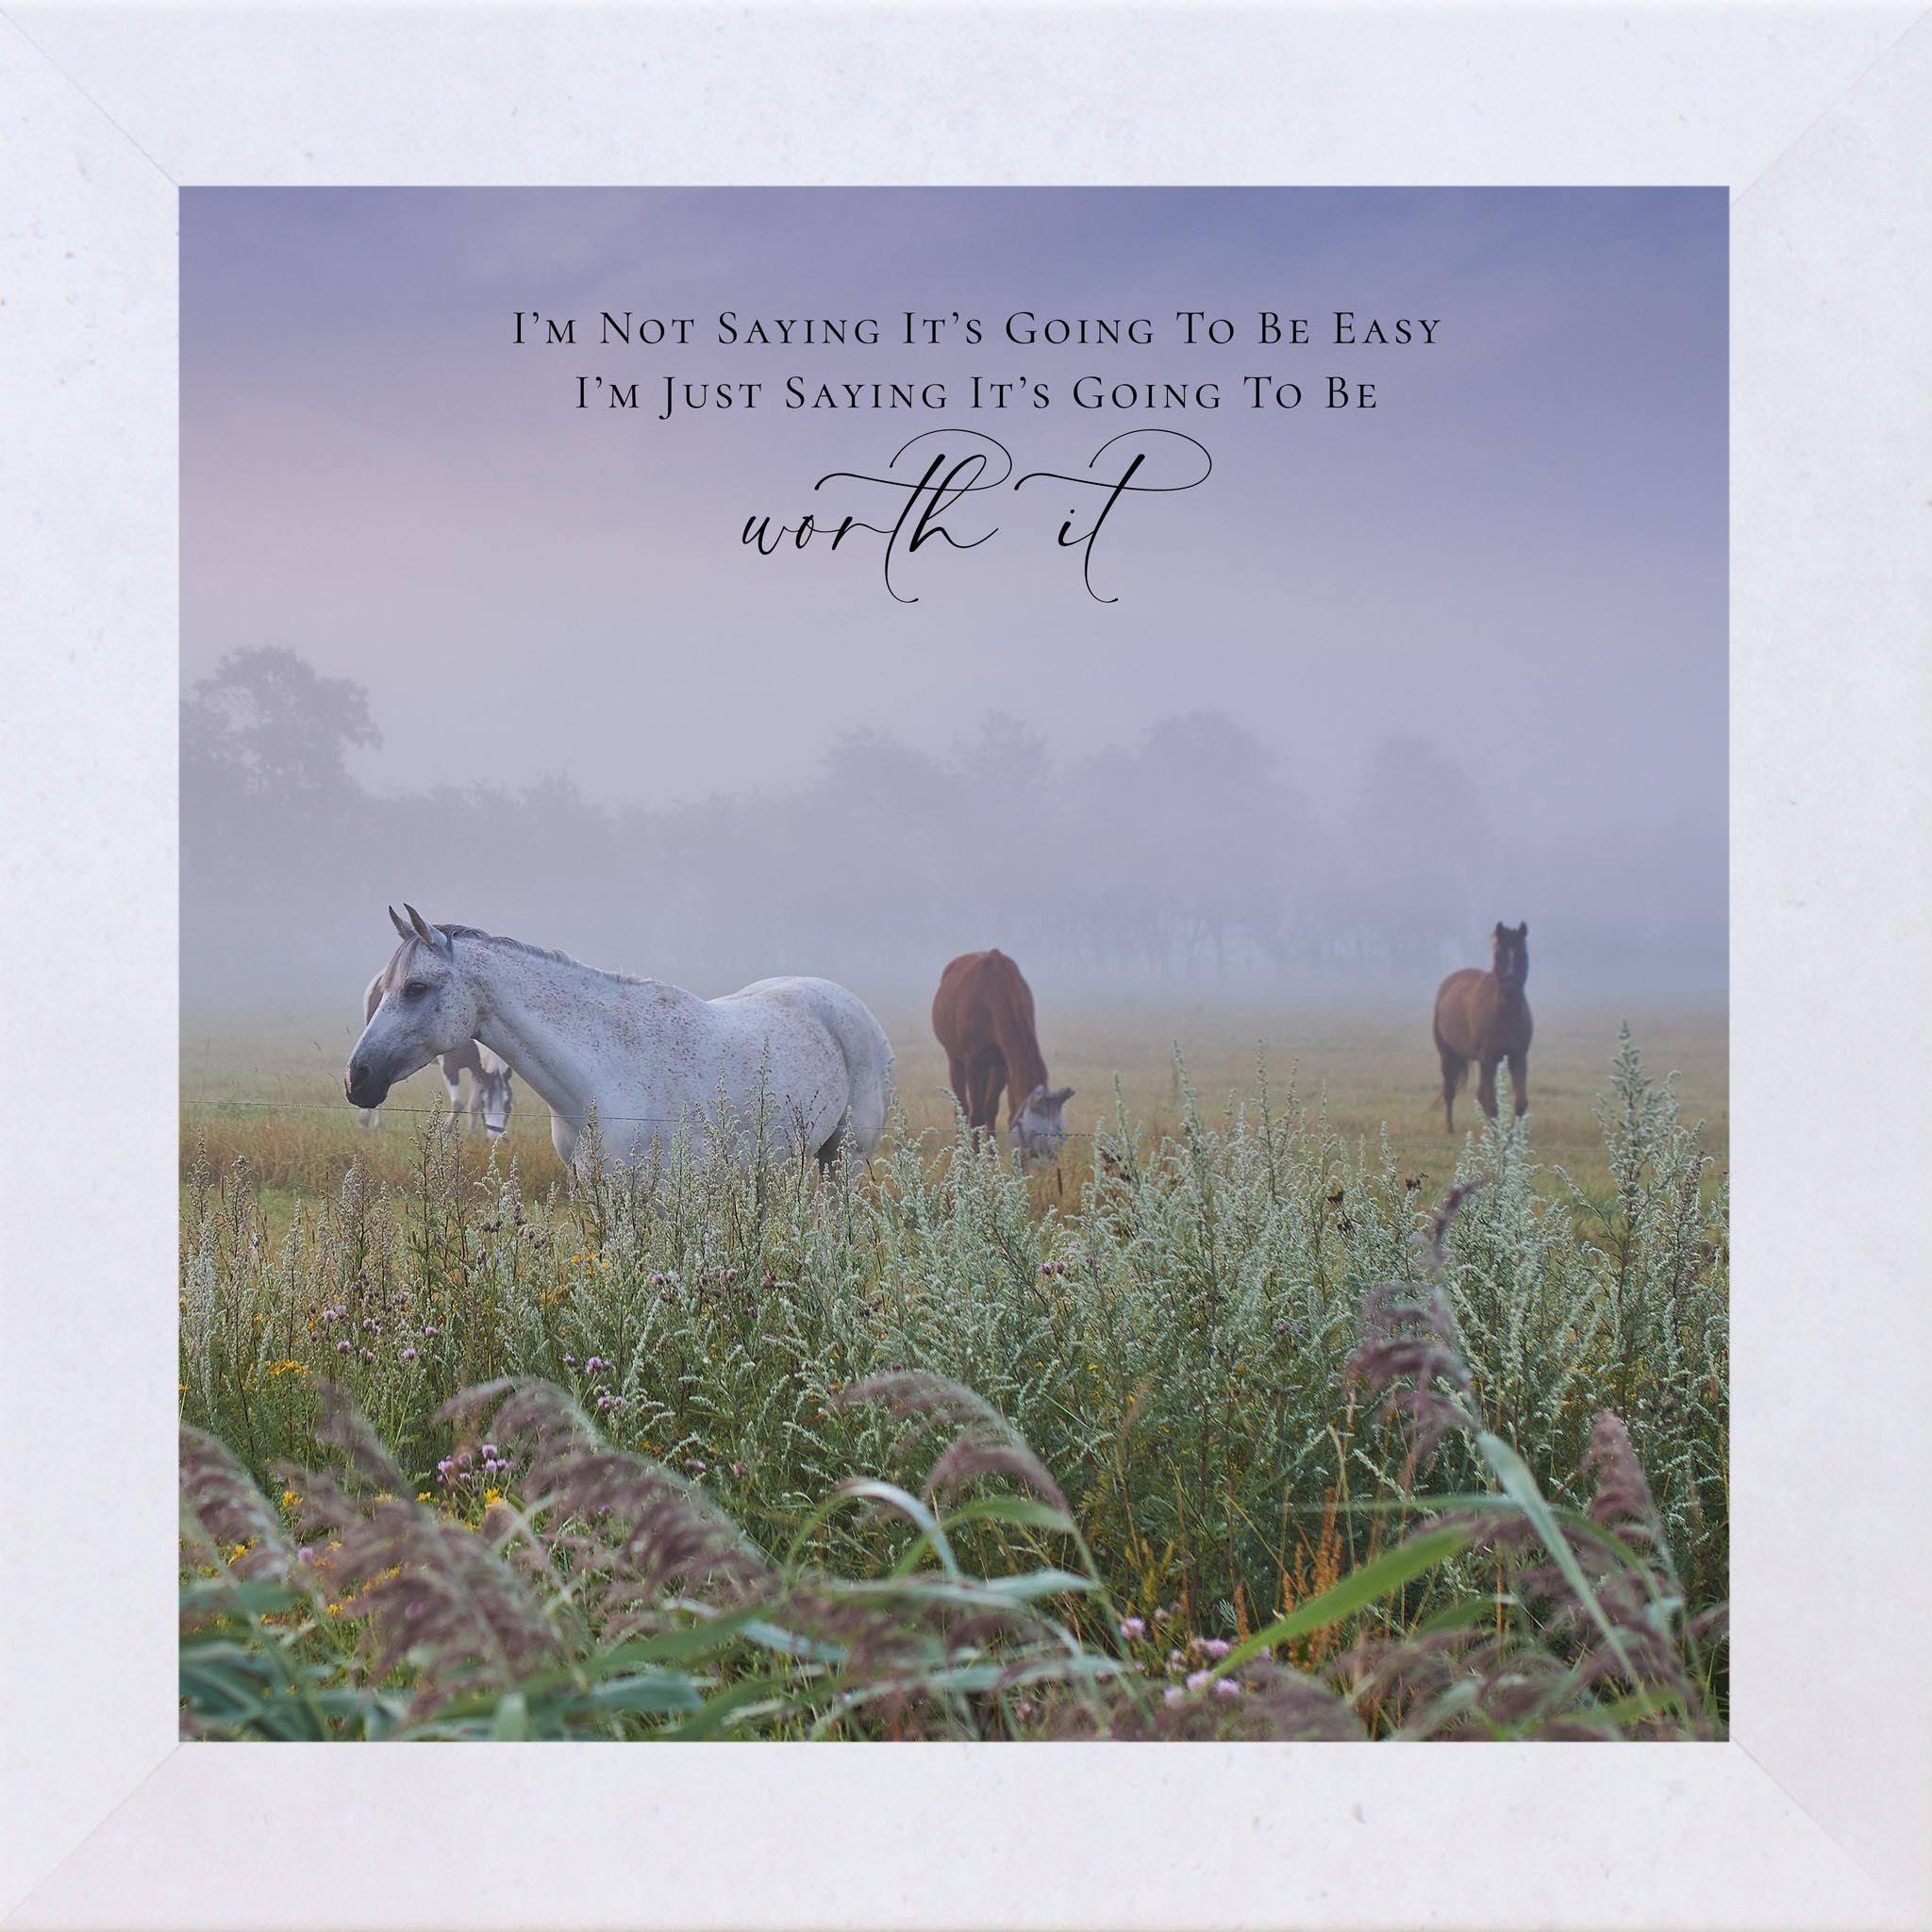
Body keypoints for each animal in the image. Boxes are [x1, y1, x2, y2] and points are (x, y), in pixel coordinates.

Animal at [357, 974, 514, 1140]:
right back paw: (374, 1124)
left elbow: (473, 1105)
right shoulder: (449, 1066)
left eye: (508, 1105)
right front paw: (445, 1132)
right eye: (486, 1103)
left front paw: (471, 1135)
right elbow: (458, 1102)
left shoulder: (478, 1070)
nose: (494, 1138)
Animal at [931, 949, 1074, 1161]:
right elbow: (976, 1113)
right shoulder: (973, 1061)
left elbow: (996, 1108)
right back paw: (961, 1152)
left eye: (1055, 1128)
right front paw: (975, 1157)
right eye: (1031, 1129)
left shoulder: (1004, 1062)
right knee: (962, 1106)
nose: (1041, 1156)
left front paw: (993, 1157)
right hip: (955, 1058)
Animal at [1432, 921, 1532, 1132]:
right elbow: (1491, 1103)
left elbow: (1520, 1102)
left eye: (1523, 954)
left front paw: (1511, 1137)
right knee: (1450, 1091)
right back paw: (1450, 1128)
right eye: (1498, 954)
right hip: (1447, 1054)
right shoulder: (1488, 1058)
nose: (1510, 992)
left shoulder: (1518, 1057)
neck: (1505, 1014)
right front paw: (1496, 1137)